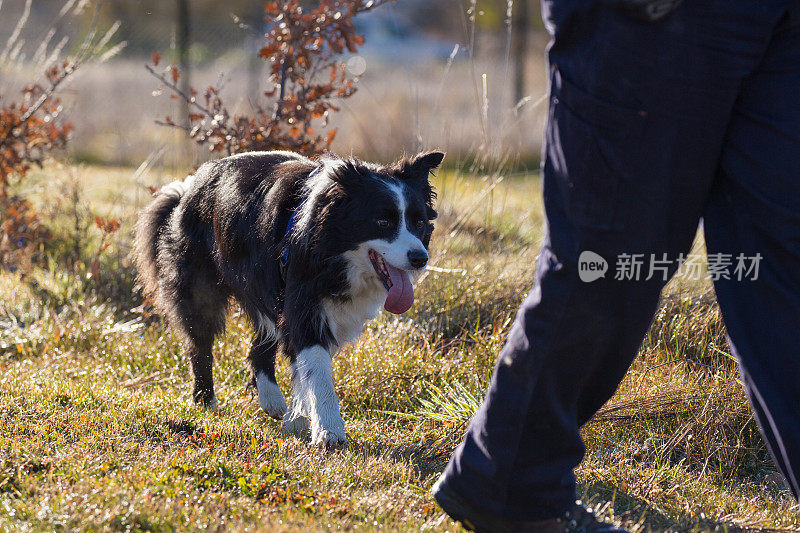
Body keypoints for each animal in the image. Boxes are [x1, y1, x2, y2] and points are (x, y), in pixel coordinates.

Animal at [132, 149, 444, 444]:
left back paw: (273, 402)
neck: (337, 255)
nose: (420, 258)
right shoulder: (302, 283)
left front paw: (298, 419)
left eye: (419, 223)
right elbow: (315, 362)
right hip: (199, 271)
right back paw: (206, 401)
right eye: (382, 221)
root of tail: (185, 190)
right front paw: (329, 432)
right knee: (200, 333)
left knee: (264, 341)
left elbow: (303, 360)